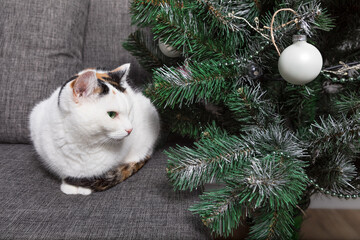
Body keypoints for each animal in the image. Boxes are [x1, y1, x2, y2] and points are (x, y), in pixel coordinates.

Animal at [30, 63, 160, 195]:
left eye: (129, 112)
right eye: (111, 114)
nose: (130, 130)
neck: (83, 145)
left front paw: (82, 187)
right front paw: (70, 186)